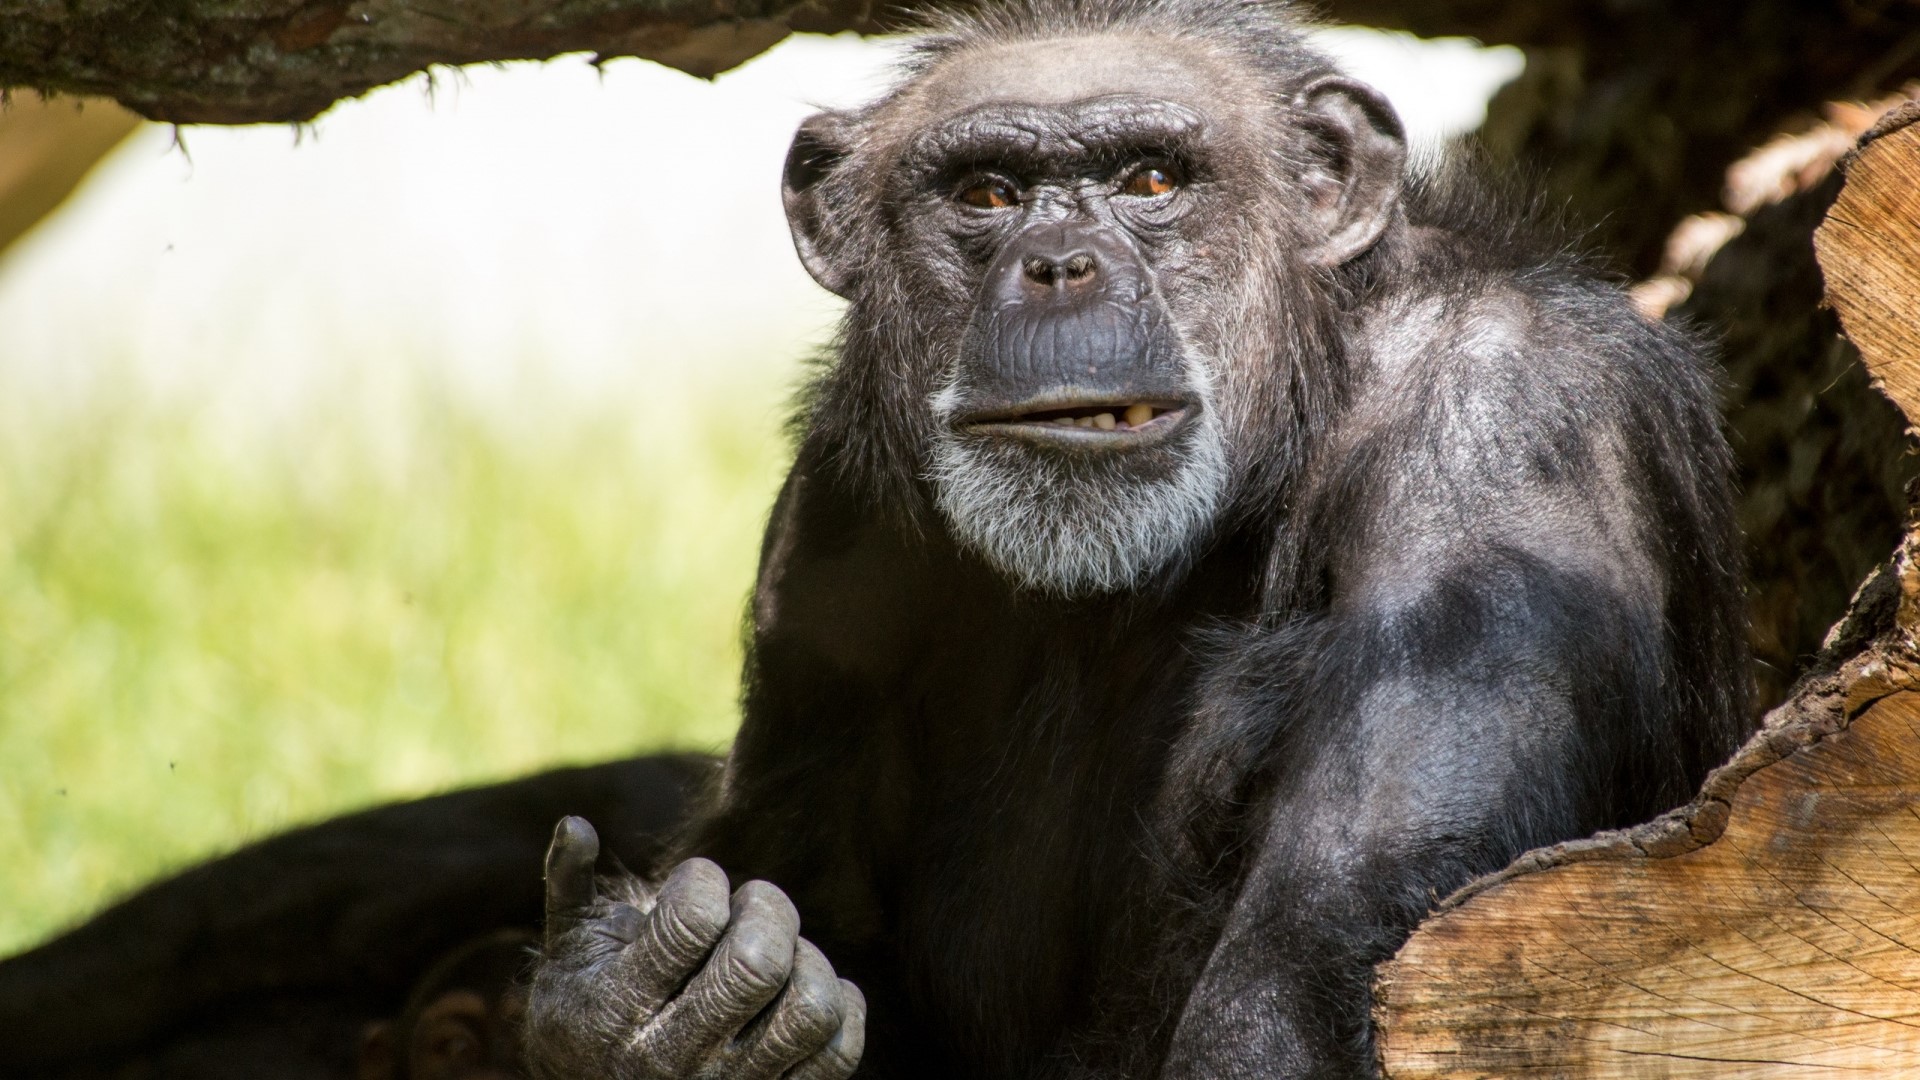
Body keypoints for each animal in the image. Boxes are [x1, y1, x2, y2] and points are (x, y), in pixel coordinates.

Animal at [521, 1, 1750, 1077]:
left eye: (1152, 179)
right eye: (987, 192)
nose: (1061, 265)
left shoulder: (1498, 451)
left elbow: (1291, 1001)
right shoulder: (837, 522)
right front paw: (631, 1013)